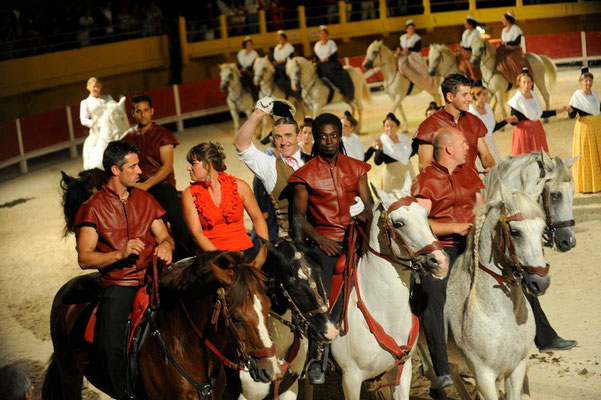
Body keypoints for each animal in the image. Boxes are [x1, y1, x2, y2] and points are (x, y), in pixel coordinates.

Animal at [328, 174, 450, 400]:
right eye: (399, 223)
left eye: (425, 214)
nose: (440, 261)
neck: (384, 312)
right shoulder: (351, 379)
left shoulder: (401, 370)